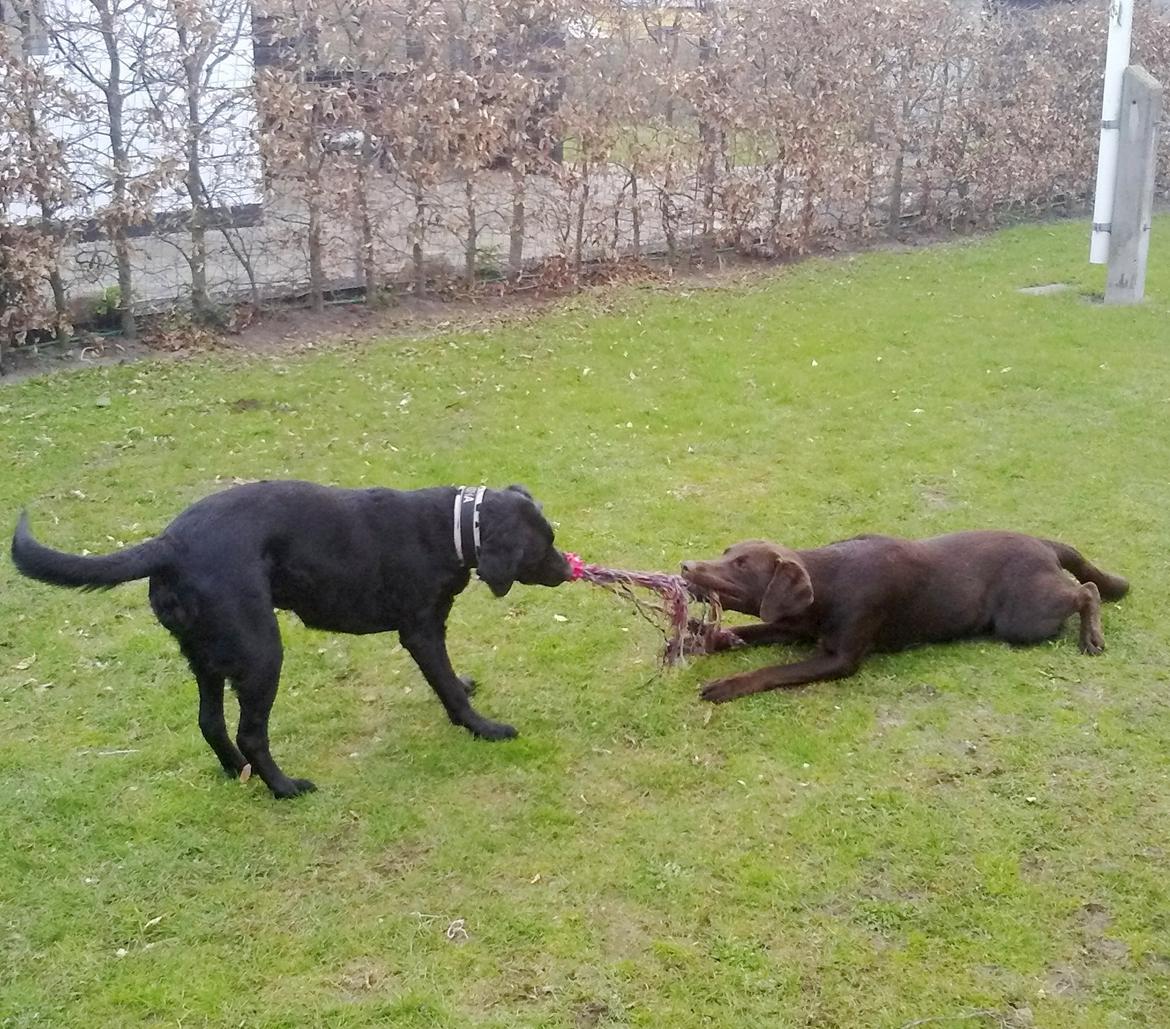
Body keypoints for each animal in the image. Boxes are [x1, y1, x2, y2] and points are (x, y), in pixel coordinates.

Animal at [12, 479, 570, 796]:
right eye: (542, 547)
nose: (568, 569)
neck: (452, 527)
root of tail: (170, 544)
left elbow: (451, 679)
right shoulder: (420, 630)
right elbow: (448, 688)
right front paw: (483, 727)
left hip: (208, 655)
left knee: (210, 722)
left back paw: (241, 774)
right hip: (261, 652)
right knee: (249, 732)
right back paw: (283, 787)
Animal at [683, 531, 1127, 707]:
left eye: (741, 565)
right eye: (726, 552)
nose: (686, 566)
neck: (828, 583)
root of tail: (1043, 542)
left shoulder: (840, 658)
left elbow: (772, 671)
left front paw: (728, 684)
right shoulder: (792, 624)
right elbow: (747, 630)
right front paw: (702, 637)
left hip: (1023, 619)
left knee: (1087, 590)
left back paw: (1092, 636)